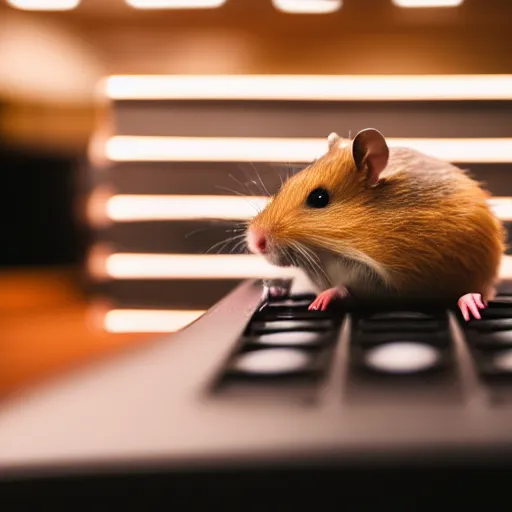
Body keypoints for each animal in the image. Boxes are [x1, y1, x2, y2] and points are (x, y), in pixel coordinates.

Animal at [246, 128, 506, 320]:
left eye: (319, 198)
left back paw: (471, 304)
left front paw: (319, 302)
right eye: (287, 184)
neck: (330, 253)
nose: (254, 241)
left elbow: (344, 288)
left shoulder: (381, 279)